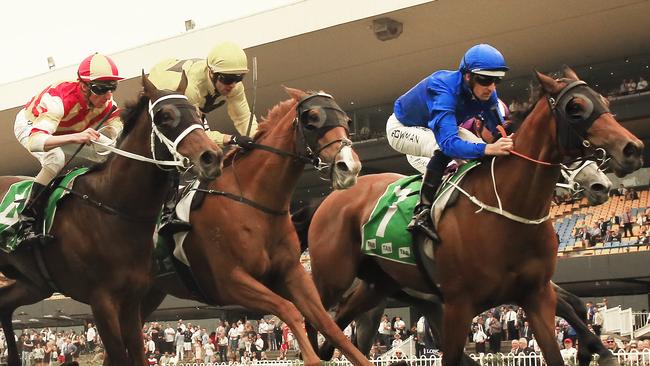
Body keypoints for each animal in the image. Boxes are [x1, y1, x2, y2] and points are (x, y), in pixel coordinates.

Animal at [0, 74, 221, 366]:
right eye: (164, 116)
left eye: (199, 113)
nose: (212, 157)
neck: (114, 209)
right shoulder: (101, 301)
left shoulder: (131, 300)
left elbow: (137, 354)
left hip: (35, 283)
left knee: (4, 305)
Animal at [139, 88, 368, 366]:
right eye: (311, 119)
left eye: (347, 121)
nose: (350, 167)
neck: (252, 202)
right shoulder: (230, 282)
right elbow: (288, 309)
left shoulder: (292, 272)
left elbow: (328, 324)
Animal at [302, 68, 640, 366]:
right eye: (576, 108)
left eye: (605, 101)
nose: (631, 149)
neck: (508, 207)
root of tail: (331, 197)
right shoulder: (459, 304)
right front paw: (597, 350)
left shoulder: (534, 291)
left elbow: (574, 309)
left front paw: (596, 350)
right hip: (334, 278)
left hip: (382, 287)